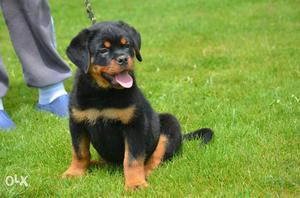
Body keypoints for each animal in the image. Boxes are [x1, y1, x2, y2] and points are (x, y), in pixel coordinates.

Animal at [62, 20, 213, 191]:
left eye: (127, 45)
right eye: (103, 50)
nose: (123, 59)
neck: (103, 93)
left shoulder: (134, 125)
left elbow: (132, 159)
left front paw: (135, 183)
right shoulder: (77, 122)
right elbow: (80, 152)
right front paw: (74, 173)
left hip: (170, 125)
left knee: (155, 159)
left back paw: (144, 172)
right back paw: (93, 164)